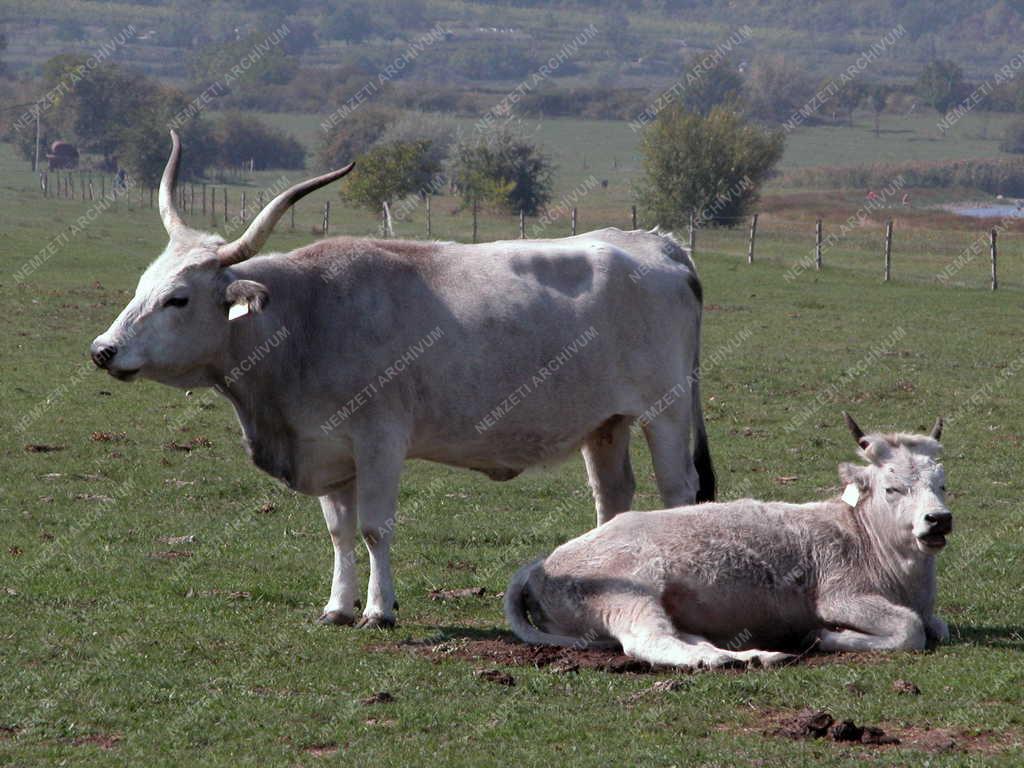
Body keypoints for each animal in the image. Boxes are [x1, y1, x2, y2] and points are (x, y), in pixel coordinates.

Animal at [90, 132, 712, 630]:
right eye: (143, 285)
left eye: (178, 298)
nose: (103, 350)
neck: (306, 318)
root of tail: (658, 243)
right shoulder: (329, 448)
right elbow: (339, 531)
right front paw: (337, 607)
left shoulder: (380, 440)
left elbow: (373, 529)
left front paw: (377, 609)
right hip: (606, 422)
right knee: (613, 496)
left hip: (666, 410)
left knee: (677, 491)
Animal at [503, 411, 950, 671]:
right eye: (892, 488)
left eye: (943, 484)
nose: (939, 520)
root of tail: (541, 565)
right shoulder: (841, 596)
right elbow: (911, 630)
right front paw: (826, 637)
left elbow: (937, 627)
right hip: (624, 595)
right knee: (651, 643)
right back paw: (726, 659)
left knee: (682, 636)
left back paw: (757, 655)